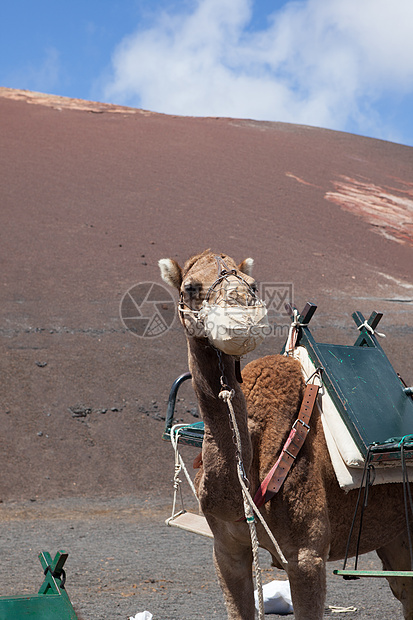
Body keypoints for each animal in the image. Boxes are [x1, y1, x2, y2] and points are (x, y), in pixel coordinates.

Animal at [159, 249, 412, 616]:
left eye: (252, 284)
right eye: (191, 287)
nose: (241, 308)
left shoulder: (306, 555)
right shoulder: (226, 550)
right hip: (395, 533)